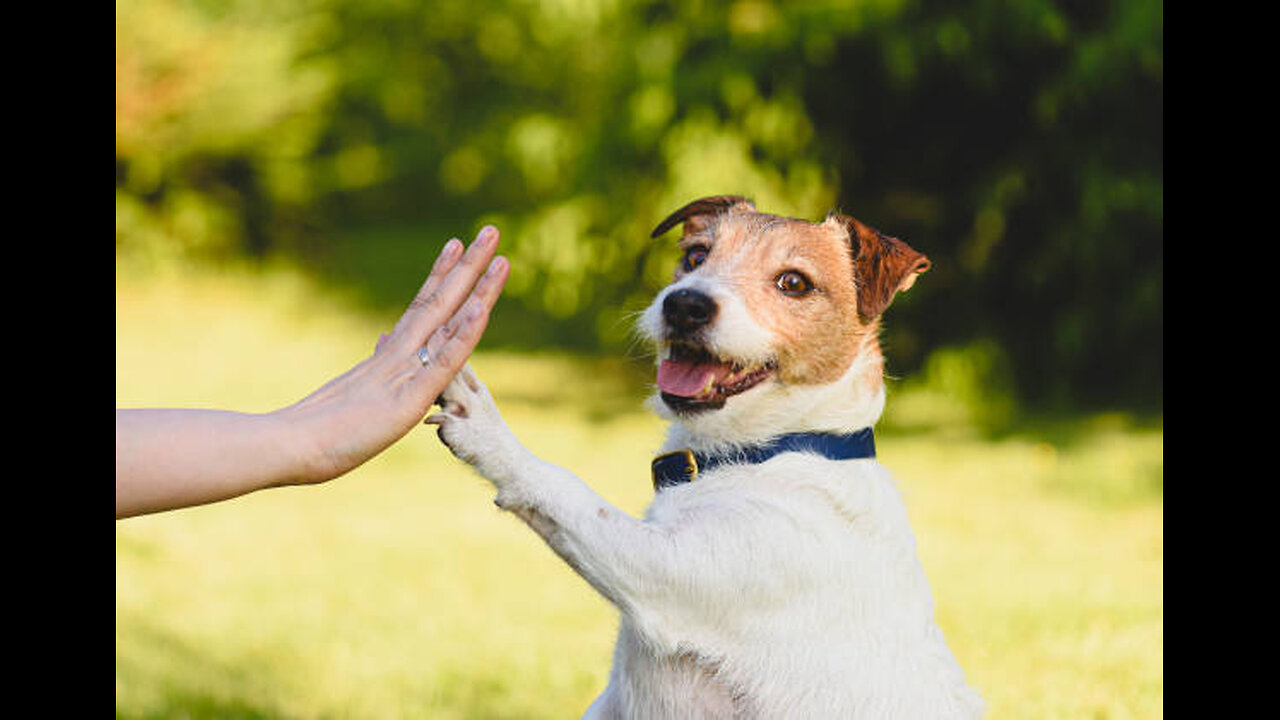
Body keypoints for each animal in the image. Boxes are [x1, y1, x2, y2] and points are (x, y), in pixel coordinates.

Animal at [427, 193, 977, 712]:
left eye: (794, 283)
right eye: (695, 255)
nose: (684, 305)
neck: (764, 454)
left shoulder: (664, 572)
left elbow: (565, 489)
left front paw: (483, 425)